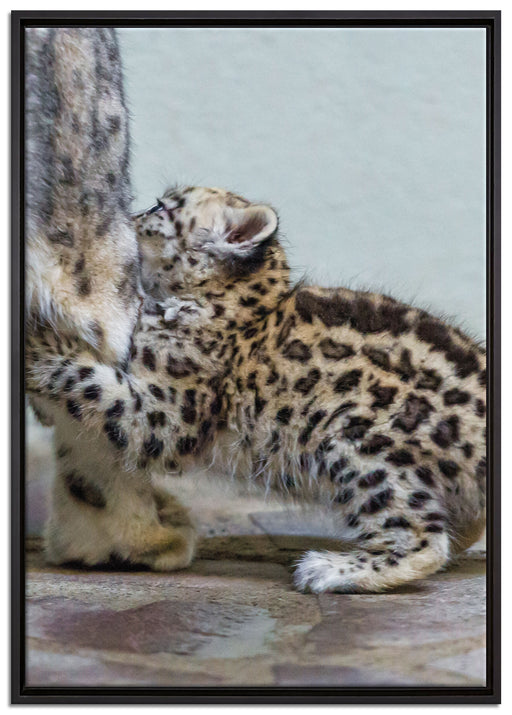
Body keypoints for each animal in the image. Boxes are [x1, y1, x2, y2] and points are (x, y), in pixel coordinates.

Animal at [26, 185, 487, 593]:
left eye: (161, 206)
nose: (128, 219)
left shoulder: (167, 414)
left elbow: (93, 384)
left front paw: (41, 346)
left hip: (357, 443)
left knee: (422, 538)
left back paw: (329, 570)